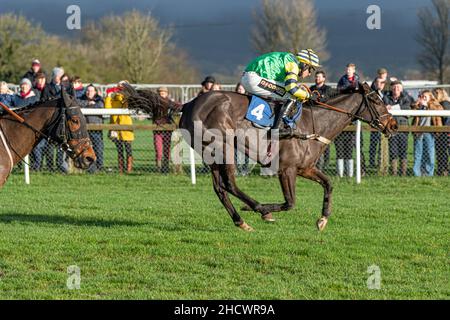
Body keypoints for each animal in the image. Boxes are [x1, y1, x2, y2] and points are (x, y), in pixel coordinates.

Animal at [122, 82, 398, 232]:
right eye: (376, 100)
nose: (393, 125)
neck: (314, 123)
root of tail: (188, 102)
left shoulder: (305, 168)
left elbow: (329, 184)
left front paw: (322, 219)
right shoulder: (286, 170)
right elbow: (290, 203)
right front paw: (267, 210)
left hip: (211, 153)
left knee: (220, 188)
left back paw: (240, 220)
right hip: (223, 147)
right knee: (230, 184)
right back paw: (257, 209)